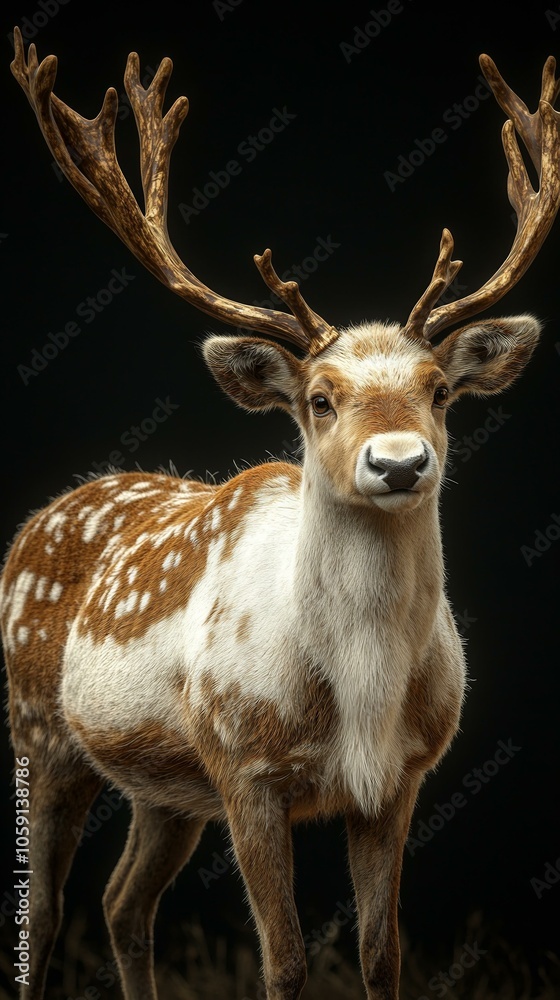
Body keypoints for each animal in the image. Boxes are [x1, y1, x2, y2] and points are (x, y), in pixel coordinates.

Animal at [2, 27, 560, 1000]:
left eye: (440, 389)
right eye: (320, 399)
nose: (399, 461)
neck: (361, 697)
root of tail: (40, 518)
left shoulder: (402, 780)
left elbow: (381, 955)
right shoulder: (243, 765)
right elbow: (286, 962)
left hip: (166, 786)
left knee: (122, 902)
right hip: (41, 728)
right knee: (46, 911)